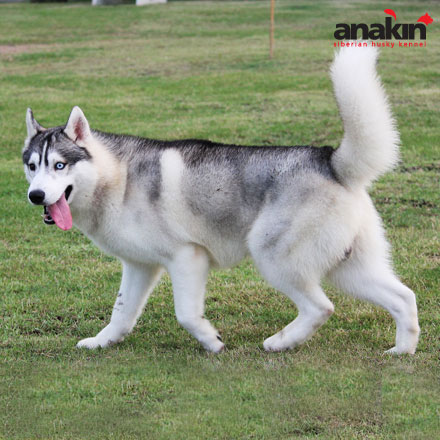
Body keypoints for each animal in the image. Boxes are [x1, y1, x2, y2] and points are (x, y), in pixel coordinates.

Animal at [22, 45, 420, 354]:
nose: (35, 195)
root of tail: (330, 160)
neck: (116, 179)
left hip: (273, 257)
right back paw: (403, 350)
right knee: (404, 297)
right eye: (32, 166)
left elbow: (186, 314)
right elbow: (121, 313)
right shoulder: (139, 266)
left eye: (59, 164)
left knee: (321, 307)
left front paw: (211, 341)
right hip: (350, 268)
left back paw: (279, 342)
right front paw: (101, 342)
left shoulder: (187, 257)